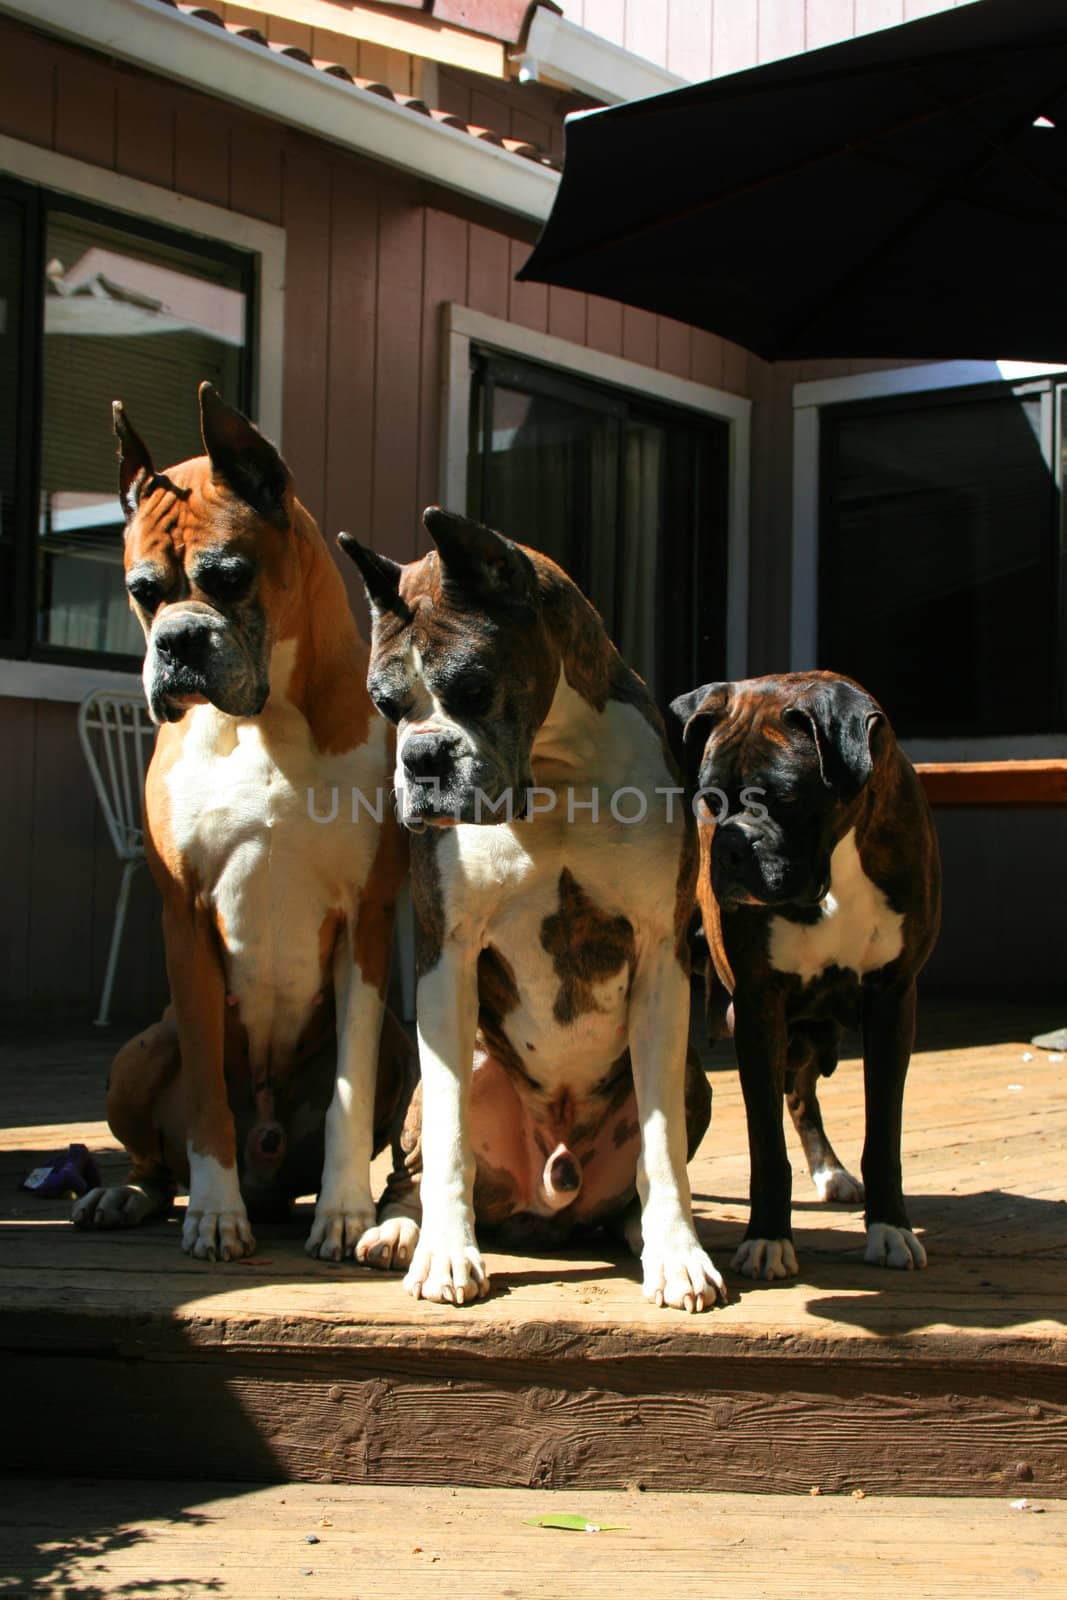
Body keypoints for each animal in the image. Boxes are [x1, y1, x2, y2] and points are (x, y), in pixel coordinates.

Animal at [70, 384, 412, 1260]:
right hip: (139, 1048)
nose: (178, 641)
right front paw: (214, 1213)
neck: (266, 723)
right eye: (141, 591)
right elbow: (204, 1103)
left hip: (402, 1040)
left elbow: (350, 1092)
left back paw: (392, 1218)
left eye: (230, 577)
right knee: (158, 1153)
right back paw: (130, 1195)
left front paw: (343, 1212)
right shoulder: (184, 921)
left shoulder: (366, 924)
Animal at [342, 505, 726, 1305]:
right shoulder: (446, 956)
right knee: (414, 1166)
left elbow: (661, 1141)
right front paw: (446, 1254)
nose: (421, 757)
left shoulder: (661, 956)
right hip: (452, 1073)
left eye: (473, 688)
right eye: (385, 706)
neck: (553, 769)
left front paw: (678, 1253)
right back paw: (399, 1231)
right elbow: (451, 1139)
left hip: (694, 1079)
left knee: (640, 1171)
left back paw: (643, 1232)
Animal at [671, 668, 940, 1280]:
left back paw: (831, 1171)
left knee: (800, 1094)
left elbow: (883, 1132)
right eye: (708, 801)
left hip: (817, 1030)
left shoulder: (894, 999)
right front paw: (768, 1239)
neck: (836, 865)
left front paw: (890, 1229)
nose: (730, 846)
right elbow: (765, 1143)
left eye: (784, 799)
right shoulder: (757, 1006)